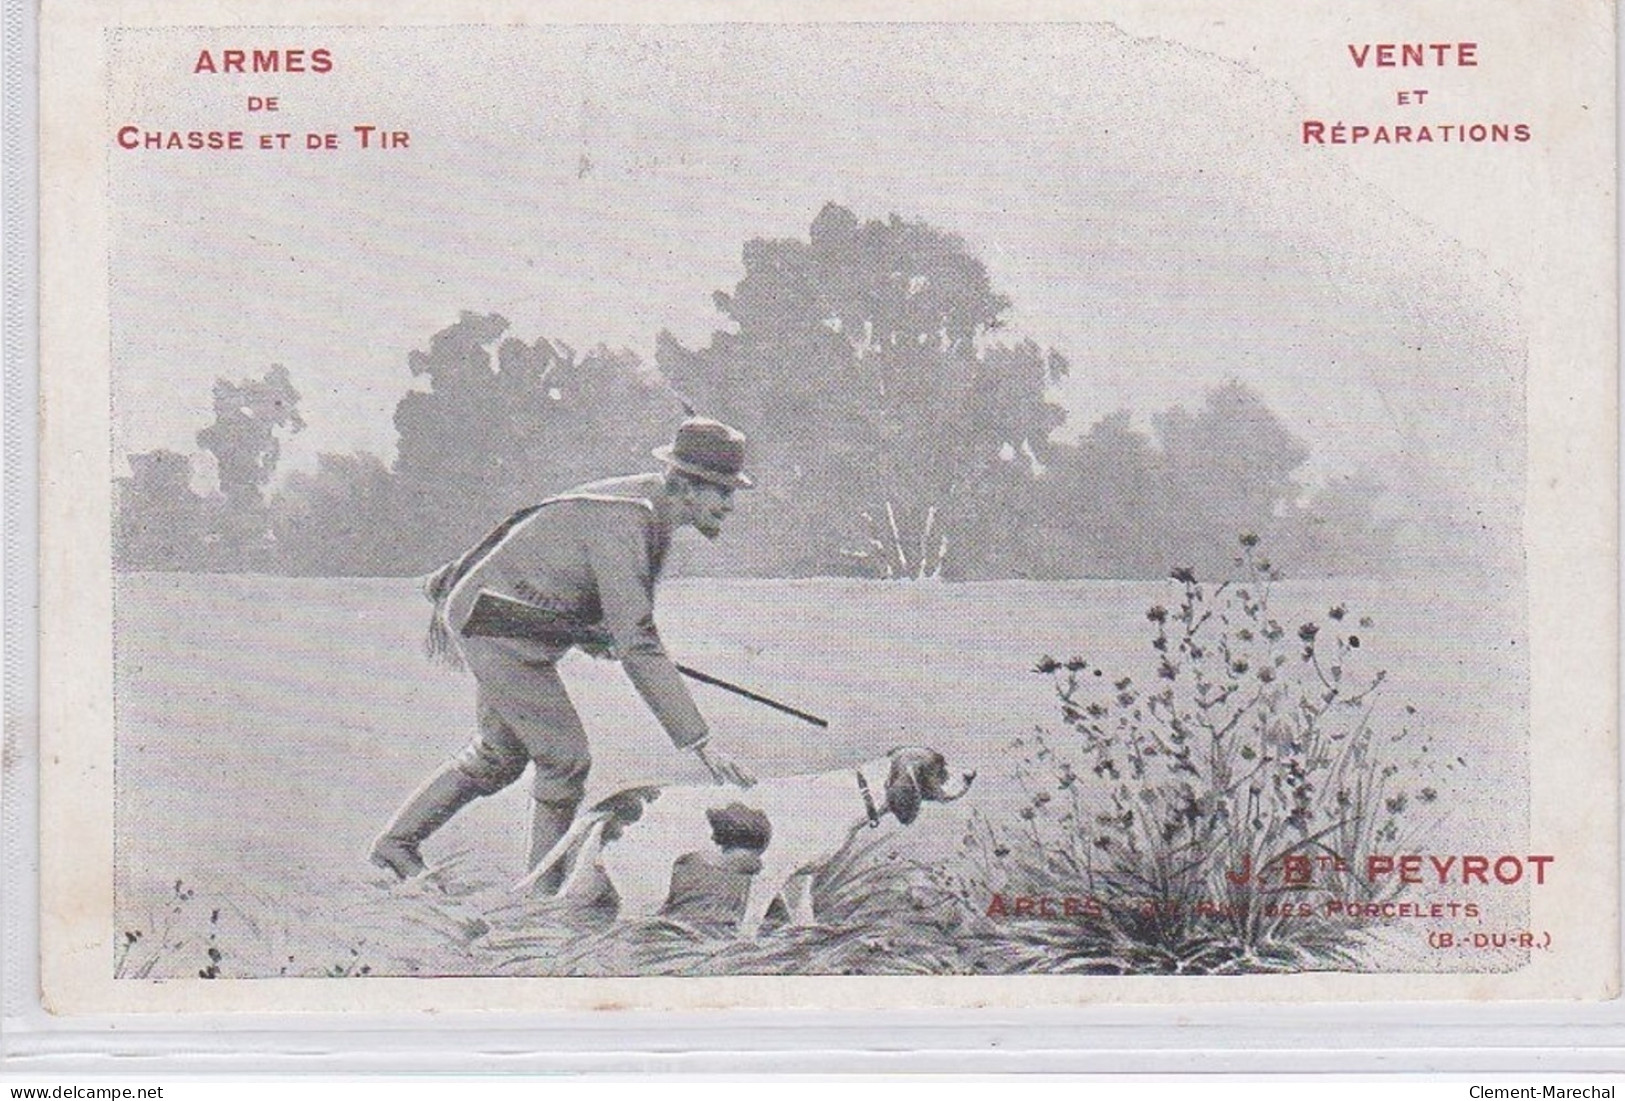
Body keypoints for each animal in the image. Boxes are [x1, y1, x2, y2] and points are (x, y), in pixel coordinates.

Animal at [513, 746, 968, 935]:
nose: (971, 774)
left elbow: (805, 921)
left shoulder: (798, 883)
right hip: (645, 891)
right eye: (940, 766)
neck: (852, 793)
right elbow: (750, 926)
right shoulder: (769, 879)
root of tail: (625, 801)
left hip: (590, 878)